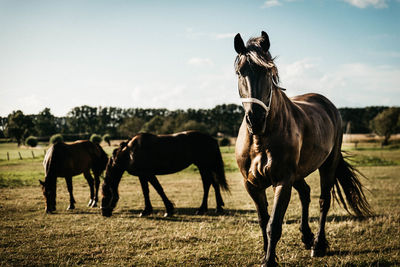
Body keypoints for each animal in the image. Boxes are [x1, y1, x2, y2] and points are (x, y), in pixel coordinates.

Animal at [101, 131, 230, 218]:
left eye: (105, 194)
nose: (104, 212)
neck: (129, 153)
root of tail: (211, 139)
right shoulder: (142, 175)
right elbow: (146, 191)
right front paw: (147, 210)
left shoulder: (148, 174)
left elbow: (158, 189)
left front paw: (168, 210)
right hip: (204, 167)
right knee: (213, 184)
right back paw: (216, 207)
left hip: (204, 166)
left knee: (208, 184)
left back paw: (204, 209)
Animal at [233, 30, 370, 266]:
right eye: (240, 72)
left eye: (268, 72)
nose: (256, 120)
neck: (261, 140)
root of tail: (326, 103)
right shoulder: (252, 185)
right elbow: (263, 221)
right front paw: (266, 255)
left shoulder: (283, 181)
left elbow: (274, 225)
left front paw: (270, 260)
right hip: (298, 174)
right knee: (305, 193)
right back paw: (307, 237)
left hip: (328, 165)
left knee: (324, 201)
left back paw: (318, 245)